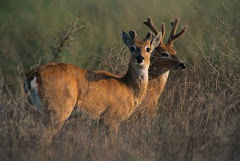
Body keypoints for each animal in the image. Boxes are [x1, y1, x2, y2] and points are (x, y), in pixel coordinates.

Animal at [24, 29, 161, 142]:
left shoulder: (100, 121)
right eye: (132, 48)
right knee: (44, 137)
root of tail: (32, 75)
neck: (128, 88)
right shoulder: (111, 118)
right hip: (59, 109)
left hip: (39, 110)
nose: (140, 58)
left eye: (148, 48)